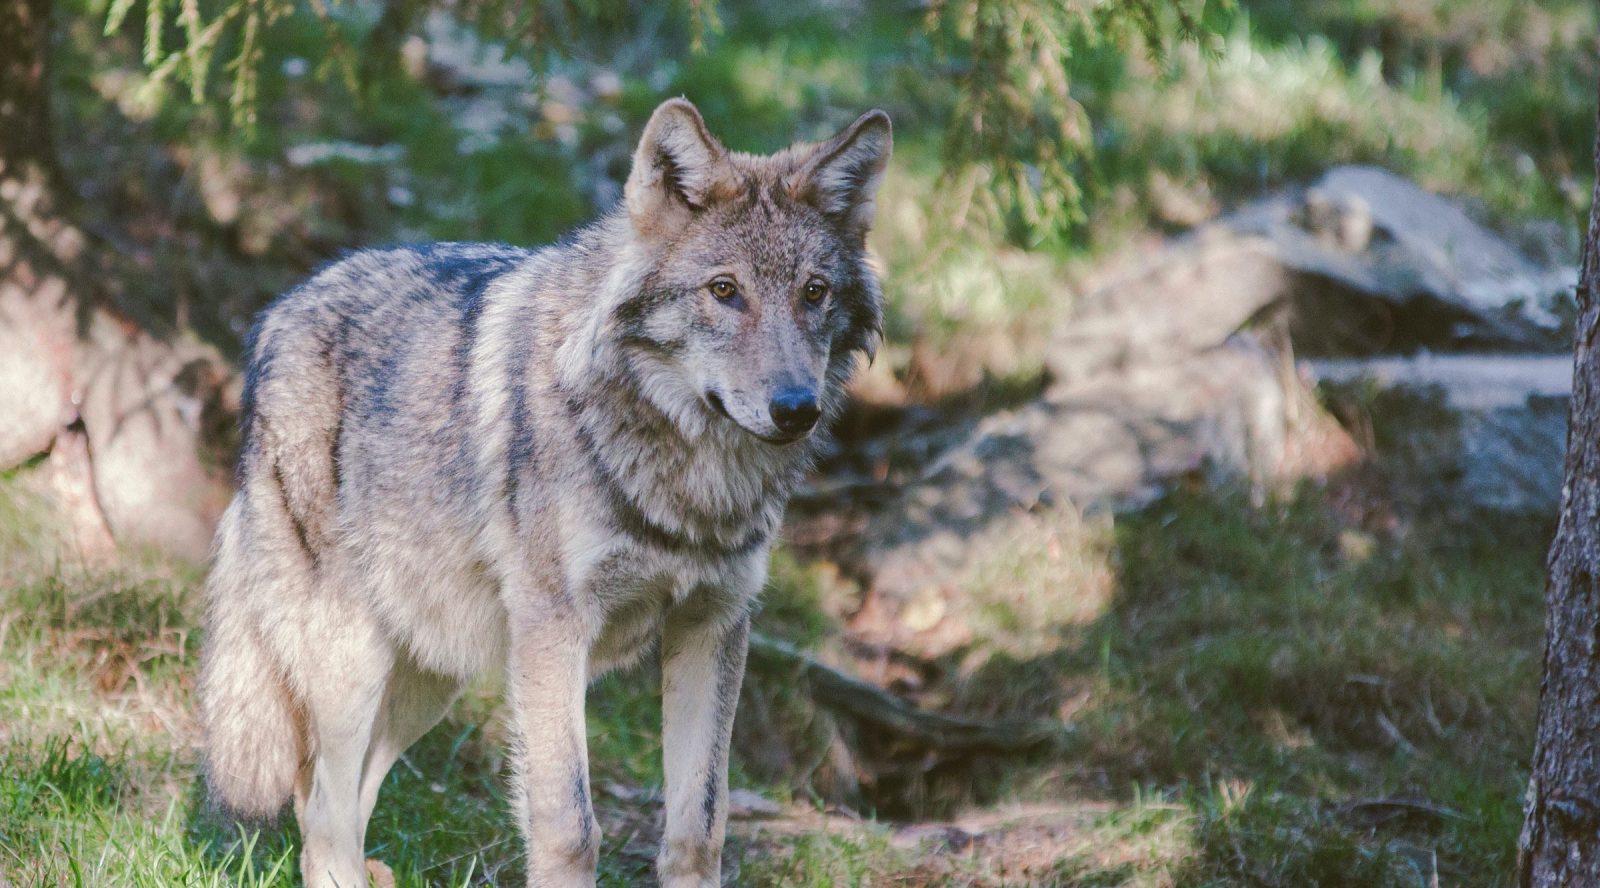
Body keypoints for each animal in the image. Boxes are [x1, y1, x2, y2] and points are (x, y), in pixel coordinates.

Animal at [196, 99, 889, 888]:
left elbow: (701, 830)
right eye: (724, 290)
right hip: (351, 663)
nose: (796, 408)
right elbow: (569, 827)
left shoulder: (713, 626)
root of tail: (276, 313)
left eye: (814, 293)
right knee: (320, 817)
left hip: (431, 675)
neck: (689, 485)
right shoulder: (557, 631)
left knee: (338, 800)